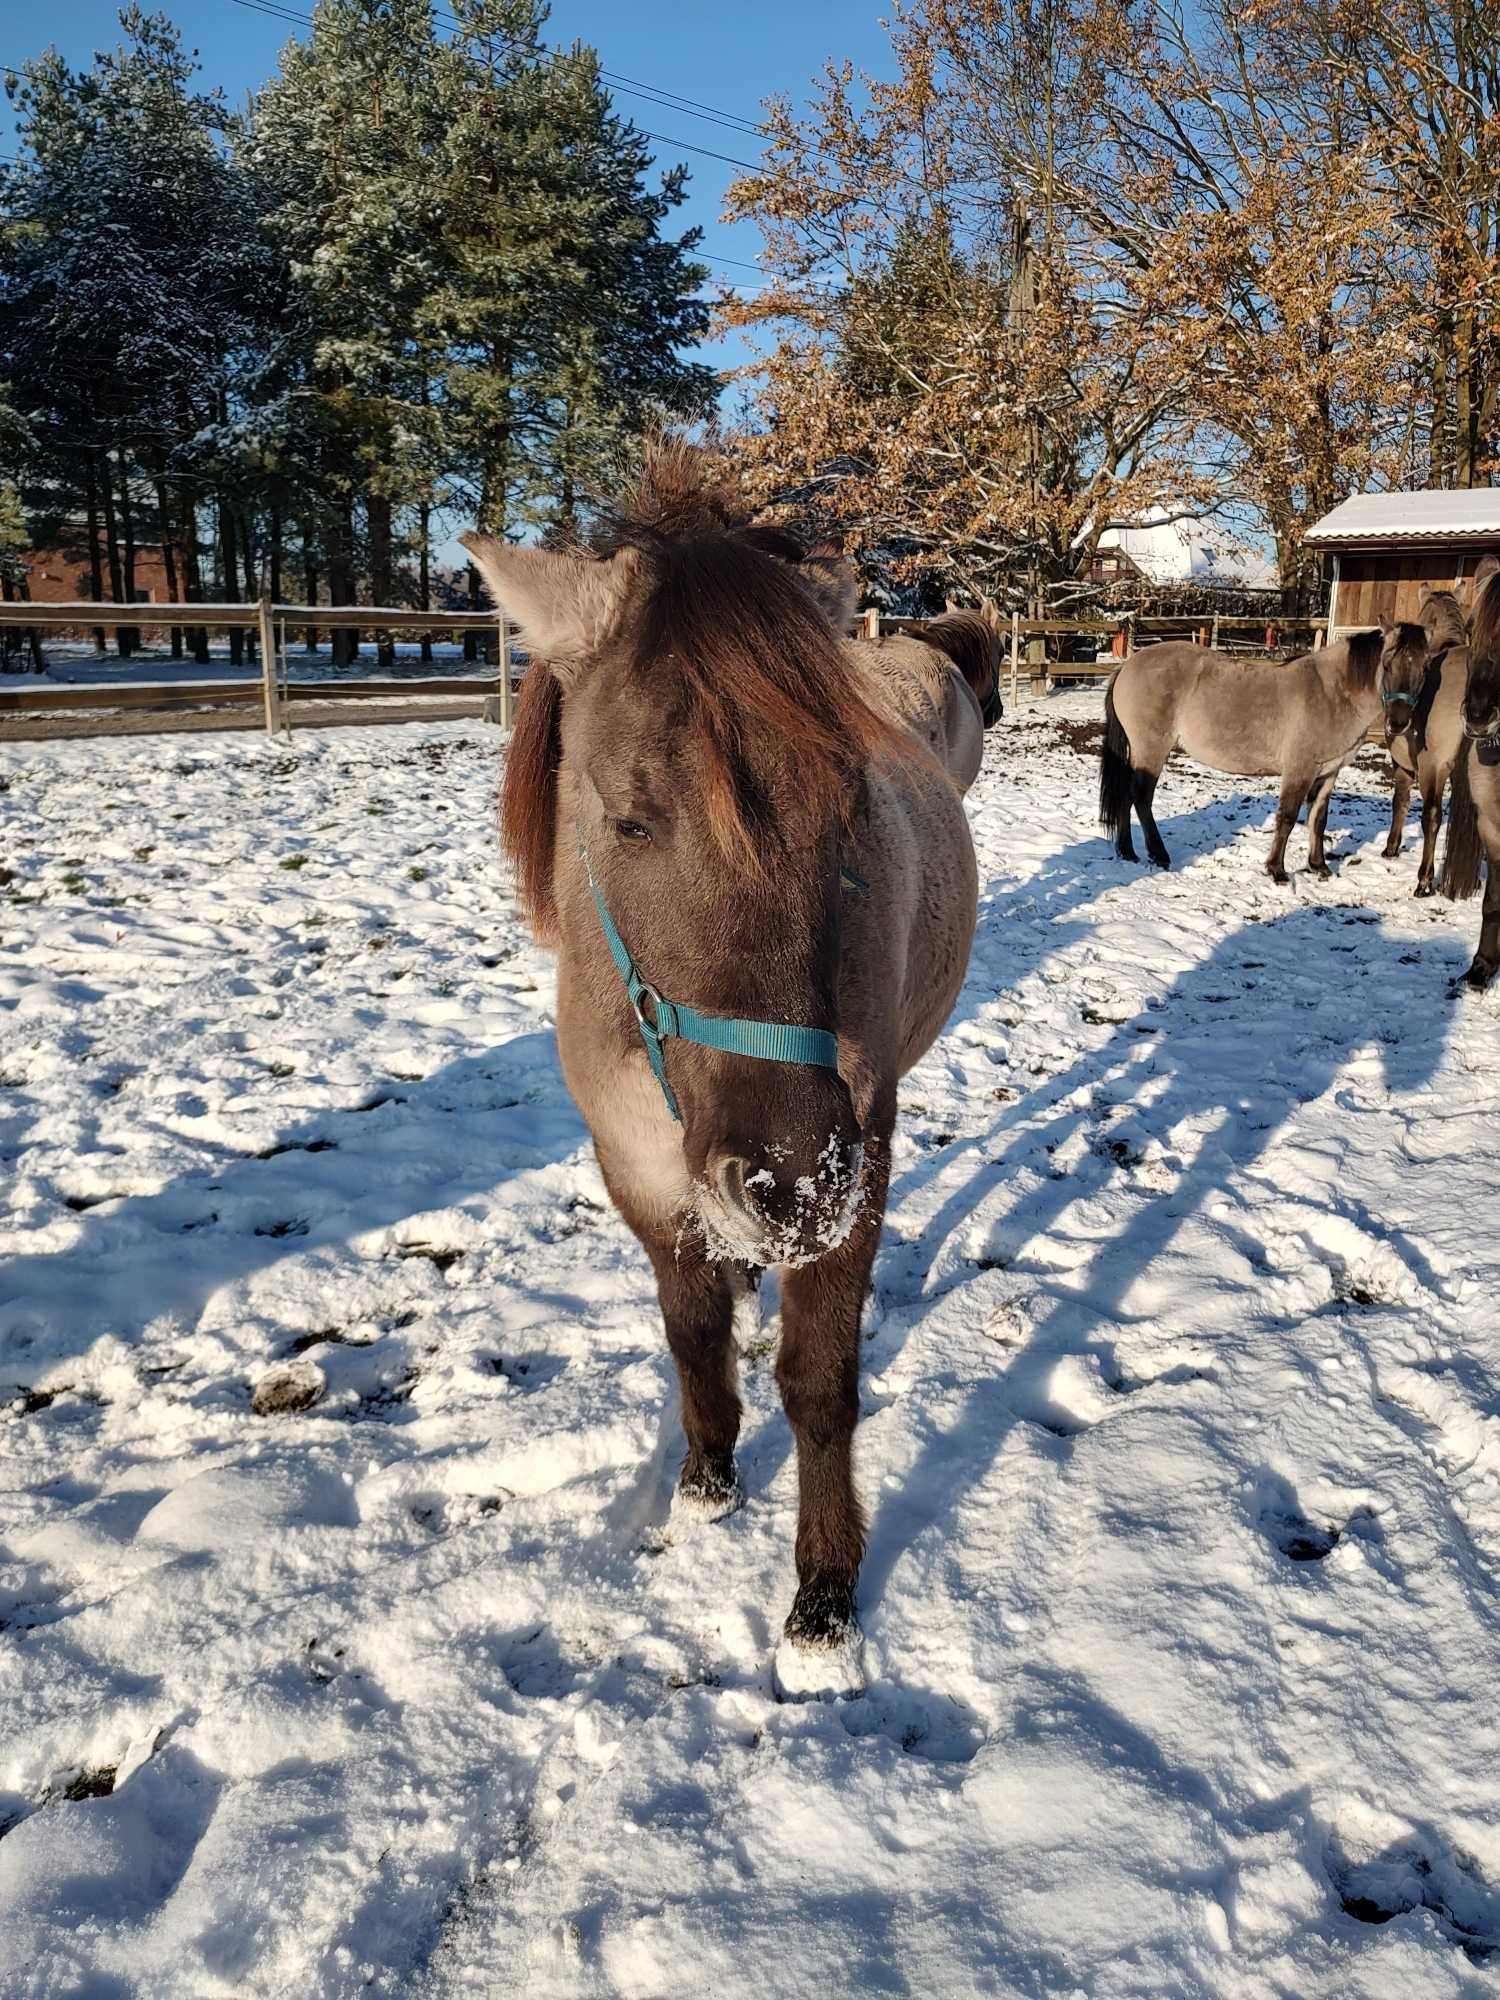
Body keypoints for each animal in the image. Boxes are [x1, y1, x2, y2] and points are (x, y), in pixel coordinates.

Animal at [470, 446, 988, 1696]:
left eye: (852, 801)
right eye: (627, 818)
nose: (788, 1182)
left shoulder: (862, 1150)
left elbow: (818, 1377)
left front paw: (824, 1590)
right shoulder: (637, 1168)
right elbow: (692, 1325)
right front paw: (707, 1476)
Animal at [1104, 620, 1432, 880]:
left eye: (1425, 668)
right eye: (1387, 664)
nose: (1399, 721)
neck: (1331, 692)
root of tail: (1127, 666)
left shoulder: (1329, 772)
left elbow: (1318, 819)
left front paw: (1319, 867)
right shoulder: (1300, 769)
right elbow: (1287, 817)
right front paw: (1277, 870)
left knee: (1125, 796)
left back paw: (1127, 851)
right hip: (1152, 749)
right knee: (1141, 798)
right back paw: (1158, 854)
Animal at [1384, 584, 1480, 900]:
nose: (1397, 721)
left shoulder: (1405, 764)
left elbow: (1400, 801)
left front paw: (1391, 847)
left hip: (1432, 768)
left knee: (1432, 816)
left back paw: (1424, 880)